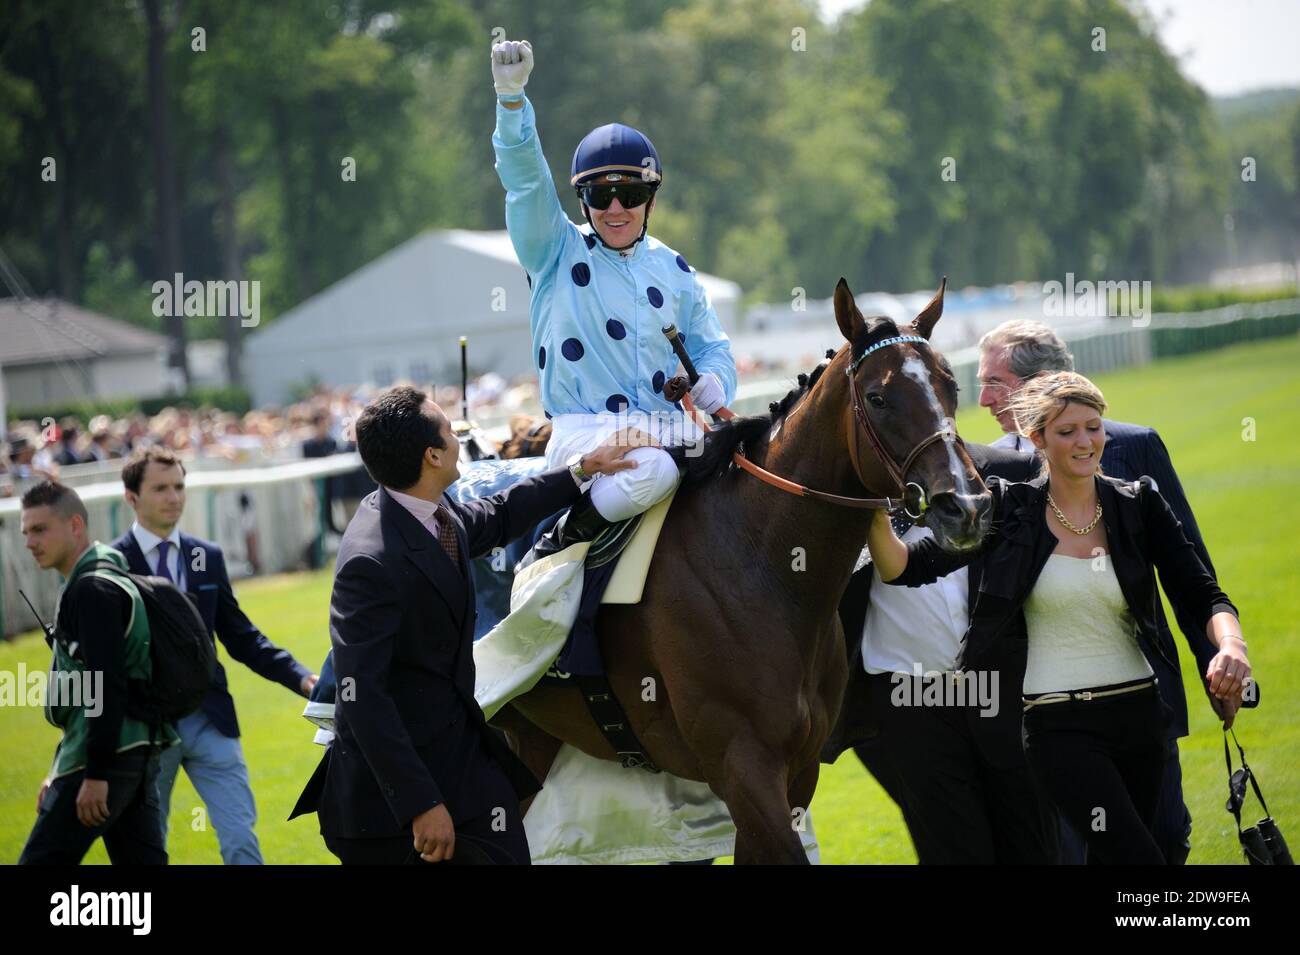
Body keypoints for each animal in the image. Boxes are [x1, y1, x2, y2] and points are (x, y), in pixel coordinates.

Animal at [491, 278, 987, 867]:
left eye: (950, 384)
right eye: (878, 397)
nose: (966, 505)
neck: (764, 566)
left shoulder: (796, 771)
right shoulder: (742, 765)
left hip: (534, 746)